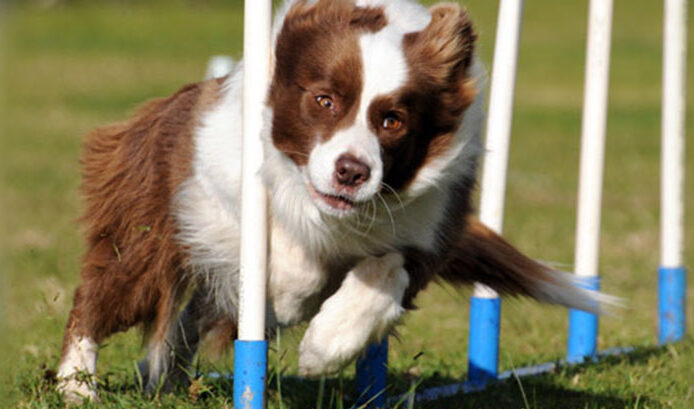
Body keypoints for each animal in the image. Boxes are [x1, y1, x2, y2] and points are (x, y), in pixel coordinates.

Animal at [58, 0, 616, 400]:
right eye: (324, 100)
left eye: (393, 120)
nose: (352, 173)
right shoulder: (211, 188)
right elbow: (285, 258)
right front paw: (288, 296)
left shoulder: (428, 227)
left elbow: (384, 272)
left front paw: (324, 348)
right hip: (150, 229)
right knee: (102, 295)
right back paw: (75, 385)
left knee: (187, 320)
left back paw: (168, 378)